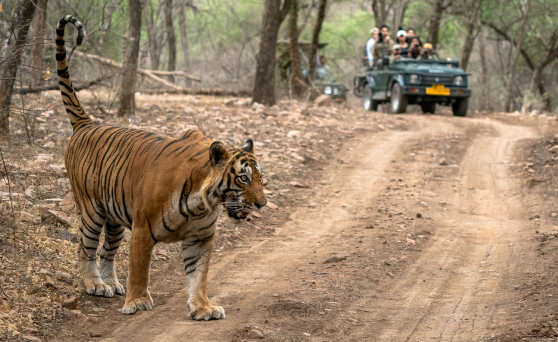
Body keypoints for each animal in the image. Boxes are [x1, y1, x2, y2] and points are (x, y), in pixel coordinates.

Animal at [54, 15, 270, 320]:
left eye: (261, 179)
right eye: (243, 179)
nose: (262, 204)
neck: (203, 202)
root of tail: (87, 124)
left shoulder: (201, 237)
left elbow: (199, 275)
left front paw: (203, 307)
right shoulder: (143, 228)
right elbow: (139, 269)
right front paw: (136, 302)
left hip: (115, 217)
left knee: (107, 251)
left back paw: (112, 284)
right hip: (92, 210)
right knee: (84, 248)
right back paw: (95, 285)